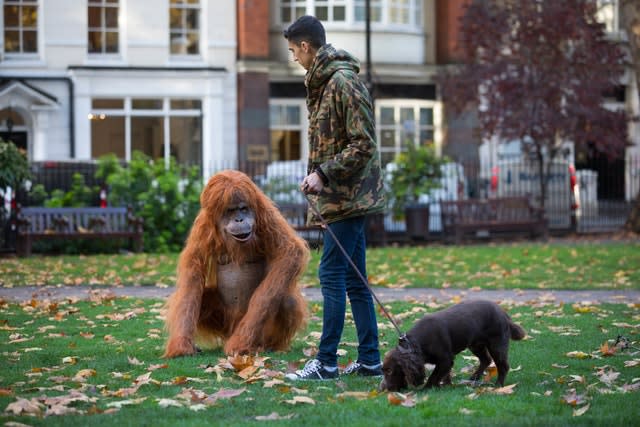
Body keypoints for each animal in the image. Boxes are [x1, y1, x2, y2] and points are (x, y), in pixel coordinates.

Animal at [380, 300, 524, 392]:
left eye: (390, 371)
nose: (384, 389)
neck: (416, 343)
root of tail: (504, 313)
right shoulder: (447, 361)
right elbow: (445, 374)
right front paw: (446, 385)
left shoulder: (445, 359)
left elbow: (434, 376)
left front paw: (426, 388)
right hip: (475, 344)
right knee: (486, 360)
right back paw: (474, 378)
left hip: (497, 344)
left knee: (502, 365)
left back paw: (498, 385)